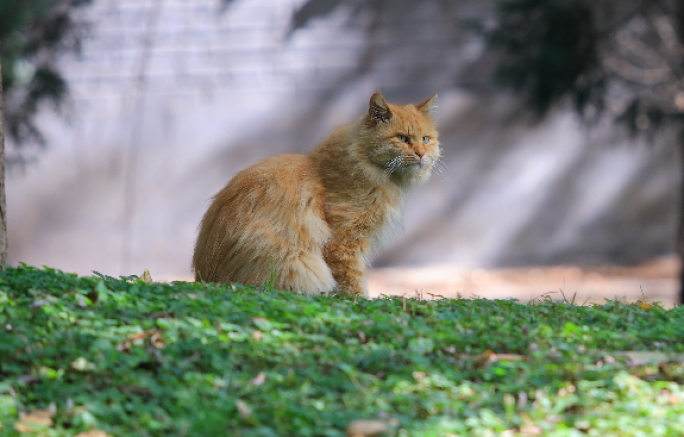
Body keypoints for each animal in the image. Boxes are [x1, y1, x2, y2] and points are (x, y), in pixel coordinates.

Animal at [192, 91, 440, 296]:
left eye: (426, 139)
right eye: (402, 138)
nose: (421, 153)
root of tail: (206, 276)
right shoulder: (343, 244)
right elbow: (354, 285)